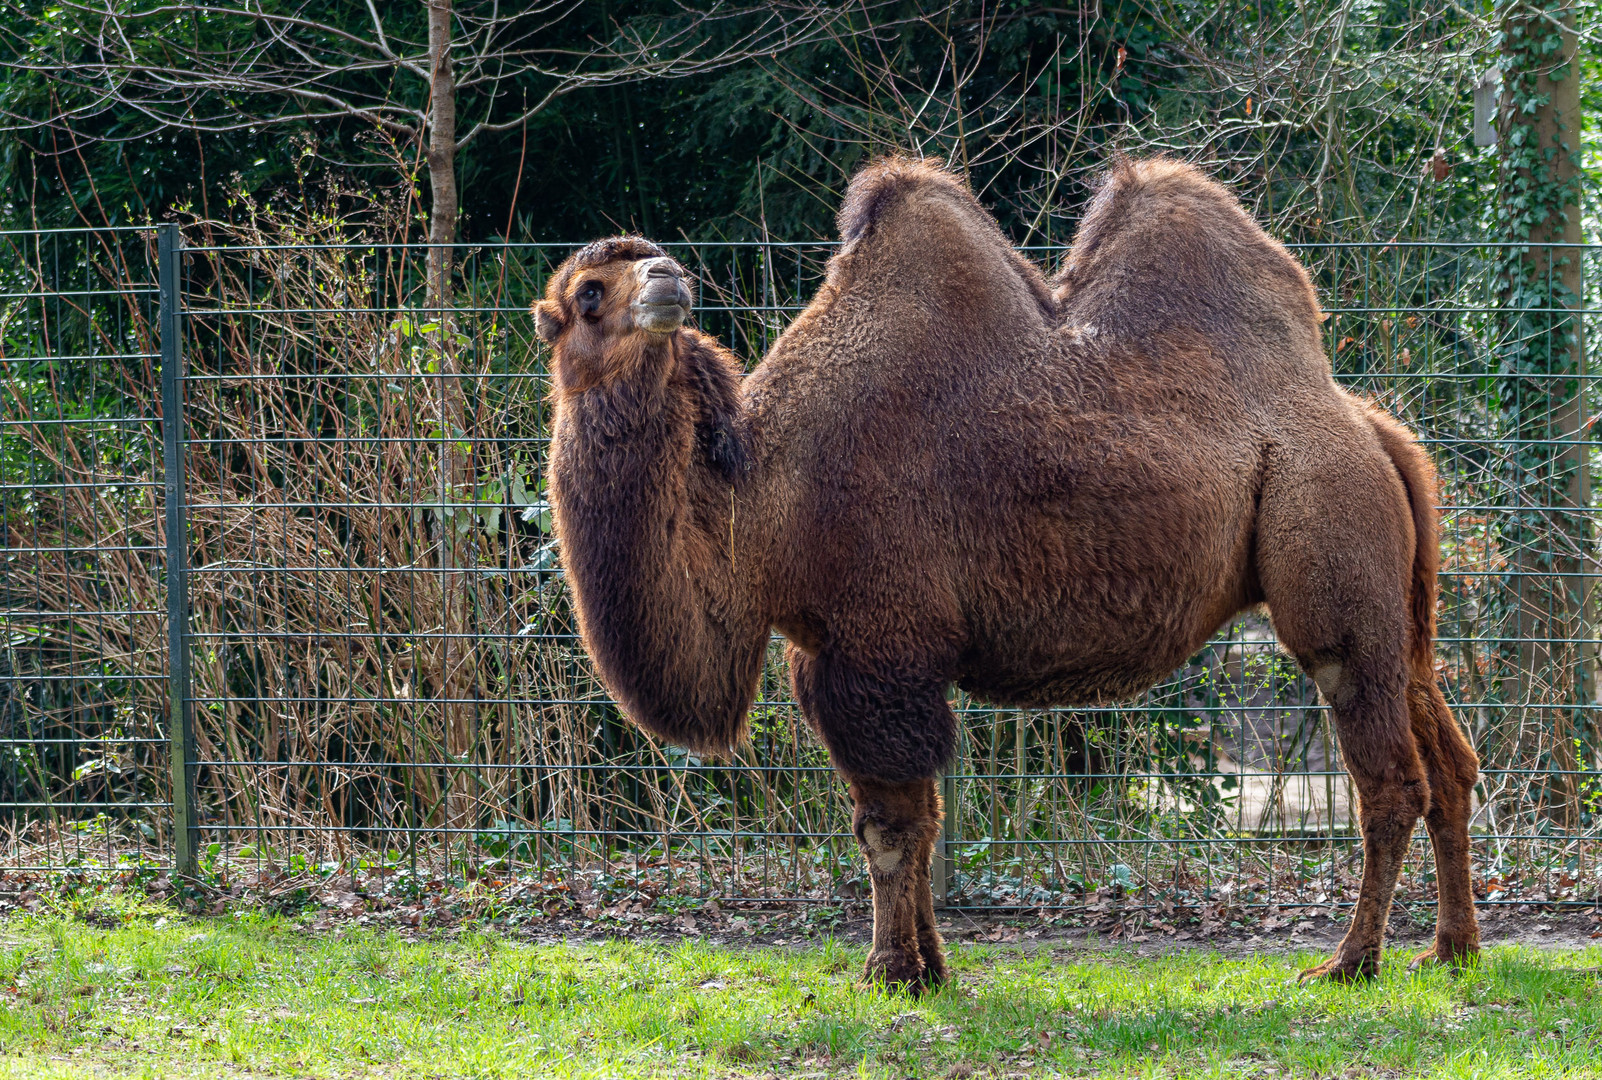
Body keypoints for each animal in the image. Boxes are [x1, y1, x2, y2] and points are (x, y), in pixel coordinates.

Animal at [535, 153, 1473, 993]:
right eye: (587, 296)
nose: (669, 276)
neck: (762, 500)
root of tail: (1373, 428)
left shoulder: (873, 651)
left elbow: (889, 827)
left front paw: (890, 972)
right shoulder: (849, 655)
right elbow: (923, 820)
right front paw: (931, 967)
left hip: (1329, 533)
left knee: (1387, 771)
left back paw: (1350, 962)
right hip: (1396, 597)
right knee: (1448, 758)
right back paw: (1449, 950)